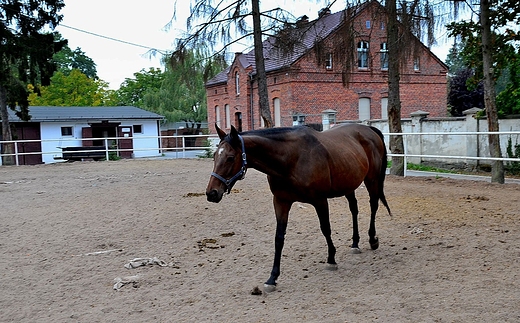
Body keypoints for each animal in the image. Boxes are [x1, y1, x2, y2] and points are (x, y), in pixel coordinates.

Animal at [206, 123, 390, 292]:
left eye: (230, 157)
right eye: (215, 156)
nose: (211, 193)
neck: (291, 158)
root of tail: (369, 129)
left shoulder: (320, 200)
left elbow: (326, 229)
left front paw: (331, 259)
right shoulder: (281, 202)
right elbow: (279, 238)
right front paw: (272, 278)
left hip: (372, 179)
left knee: (373, 205)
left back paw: (373, 240)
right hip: (349, 184)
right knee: (354, 209)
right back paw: (355, 243)